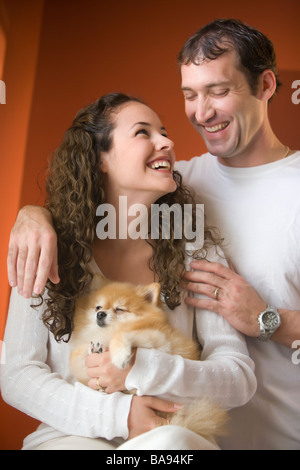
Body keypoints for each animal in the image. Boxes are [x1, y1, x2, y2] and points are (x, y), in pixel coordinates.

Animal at [69, 274, 226, 442]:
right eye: (98, 307)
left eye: (119, 309)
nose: (100, 314)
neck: (106, 333)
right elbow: (76, 355)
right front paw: (94, 349)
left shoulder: (159, 340)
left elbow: (121, 333)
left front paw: (120, 356)